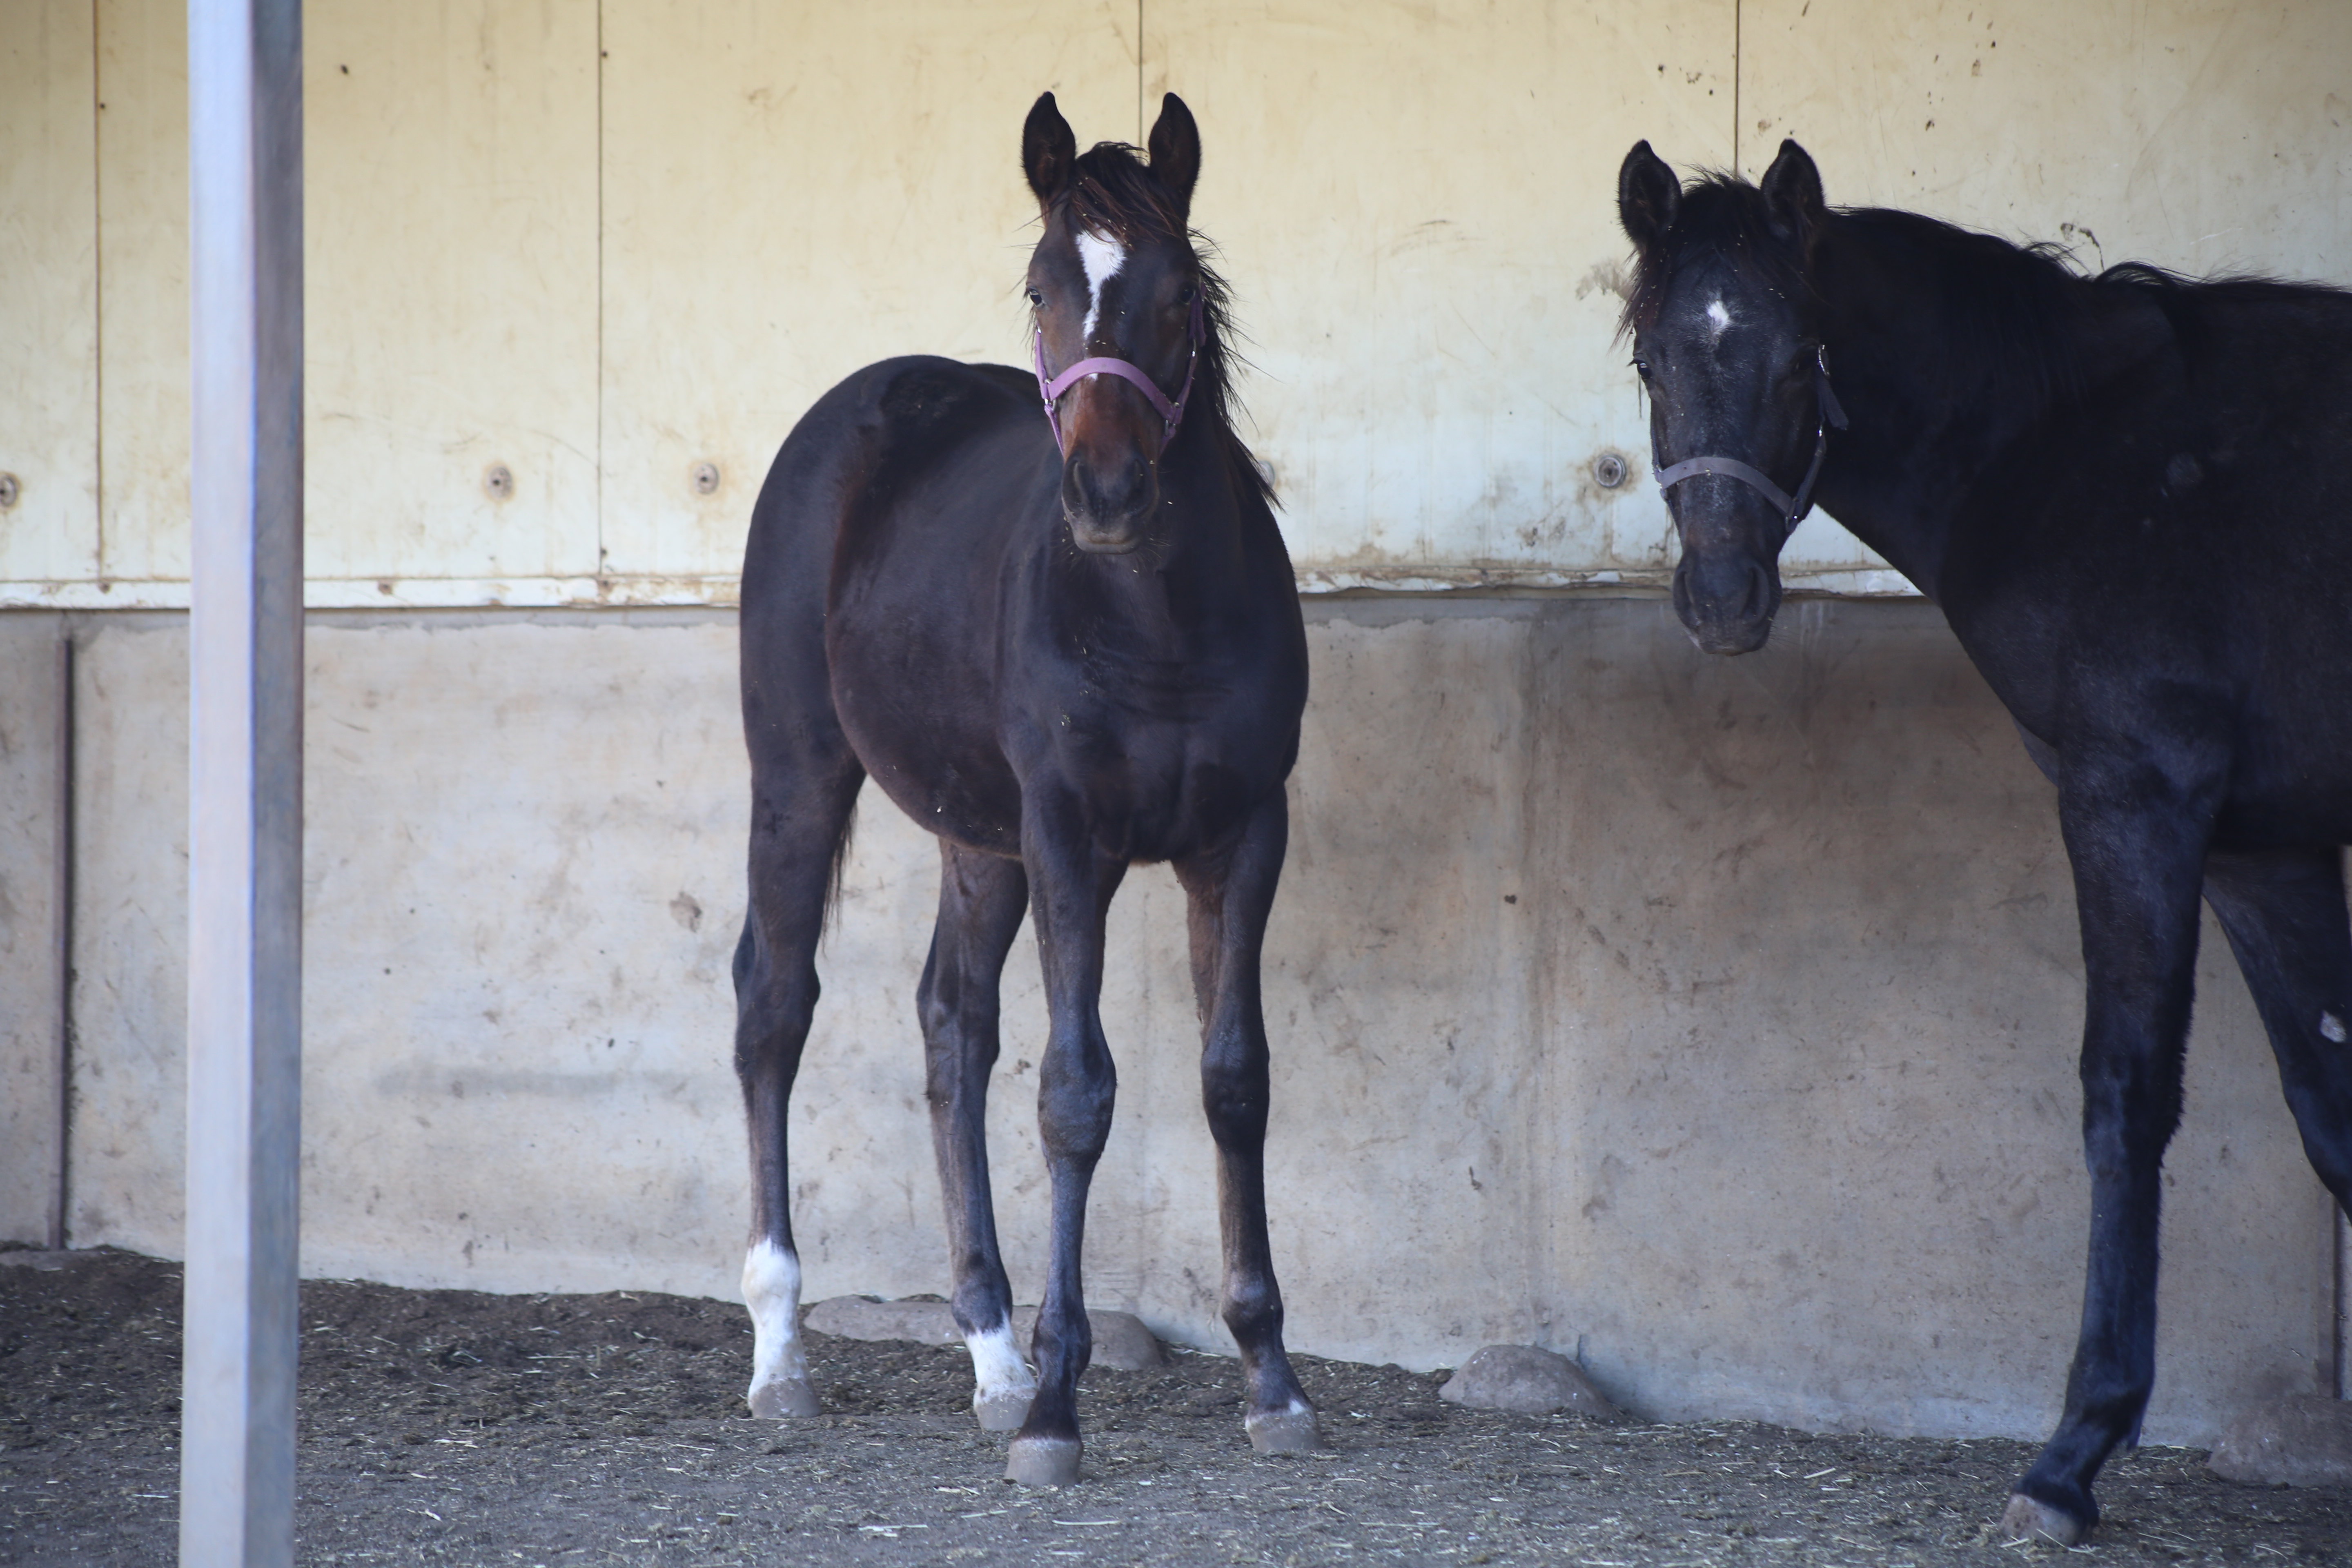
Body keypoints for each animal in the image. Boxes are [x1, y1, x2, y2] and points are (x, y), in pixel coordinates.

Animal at [734, 92, 1326, 1495]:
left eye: (1178, 292)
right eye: (1045, 285)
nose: (1106, 495)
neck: (1155, 616)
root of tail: (862, 406)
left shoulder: (1243, 836)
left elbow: (1235, 1078)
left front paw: (1272, 1380)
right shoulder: (1072, 838)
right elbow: (1075, 1093)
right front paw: (1062, 1408)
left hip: (978, 840)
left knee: (950, 1024)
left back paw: (993, 1356)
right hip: (800, 778)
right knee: (774, 1009)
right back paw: (785, 1354)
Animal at [1618, 138, 2352, 1542]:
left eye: (1803, 355)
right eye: (1649, 360)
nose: (1726, 602)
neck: (2068, 447)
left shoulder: (2135, 797)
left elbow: (2125, 1096)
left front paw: (2074, 1454)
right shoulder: (2265, 851)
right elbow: (2329, 1105)